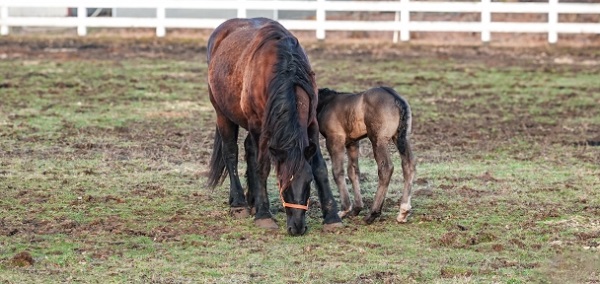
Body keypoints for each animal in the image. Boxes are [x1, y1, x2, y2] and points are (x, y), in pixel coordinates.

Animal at [205, 17, 342, 235]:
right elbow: (261, 166)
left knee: (247, 149)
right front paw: (264, 215)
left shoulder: (311, 124)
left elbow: (320, 167)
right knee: (231, 152)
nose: (297, 227)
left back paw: (251, 200)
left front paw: (332, 217)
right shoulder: (257, 126)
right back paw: (239, 203)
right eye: (281, 182)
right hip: (223, 114)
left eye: (308, 182)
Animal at [316, 86, 414, 224]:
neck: (326, 102)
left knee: (386, 168)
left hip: (378, 140)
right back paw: (403, 212)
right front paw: (356, 209)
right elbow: (353, 171)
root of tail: (396, 98)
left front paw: (344, 210)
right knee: (408, 165)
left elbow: (337, 171)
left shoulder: (334, 139)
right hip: (402, 137)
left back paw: (372, 214)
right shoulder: (352, 143)